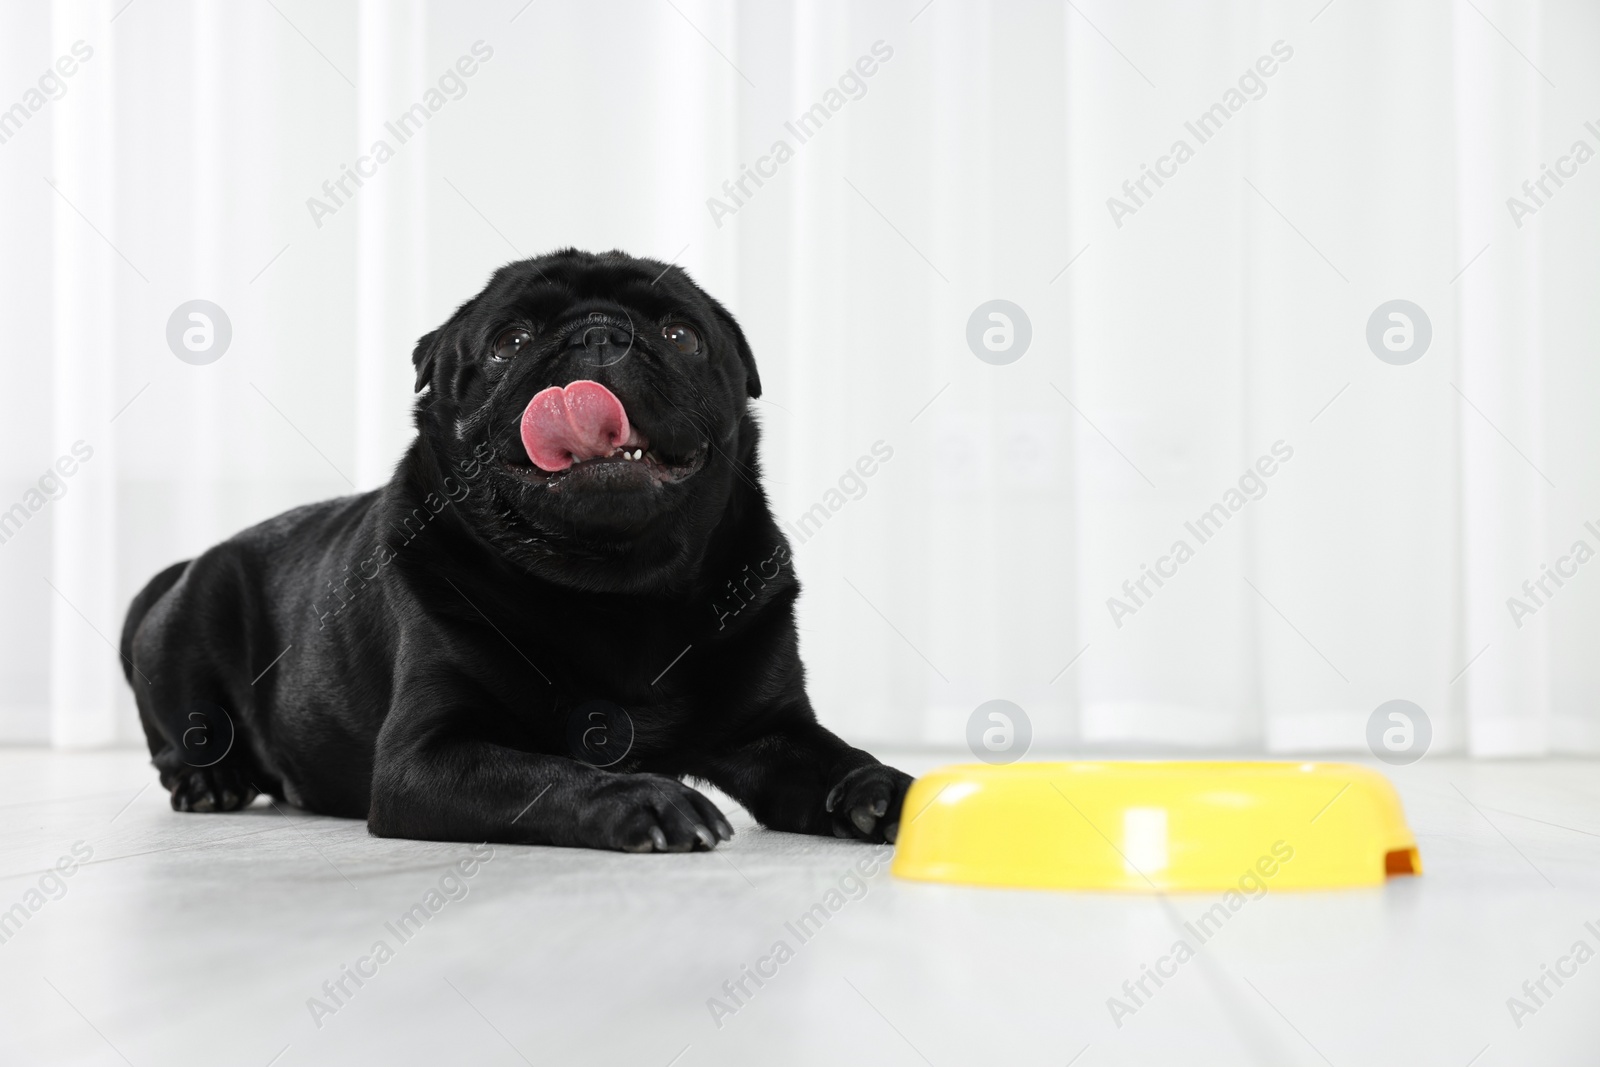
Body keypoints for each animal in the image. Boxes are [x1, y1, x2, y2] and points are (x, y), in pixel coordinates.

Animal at [124, 247, 915, 851]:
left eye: (682, 335)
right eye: (508, 341)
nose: (600, 335)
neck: (619, 591)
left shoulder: (771, 731)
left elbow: (833, 757)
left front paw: (885, 790)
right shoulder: (427, 756)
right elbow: (545, 773)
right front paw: (644, 797)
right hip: (192, 628)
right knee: (178, 737)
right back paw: (209, 782)